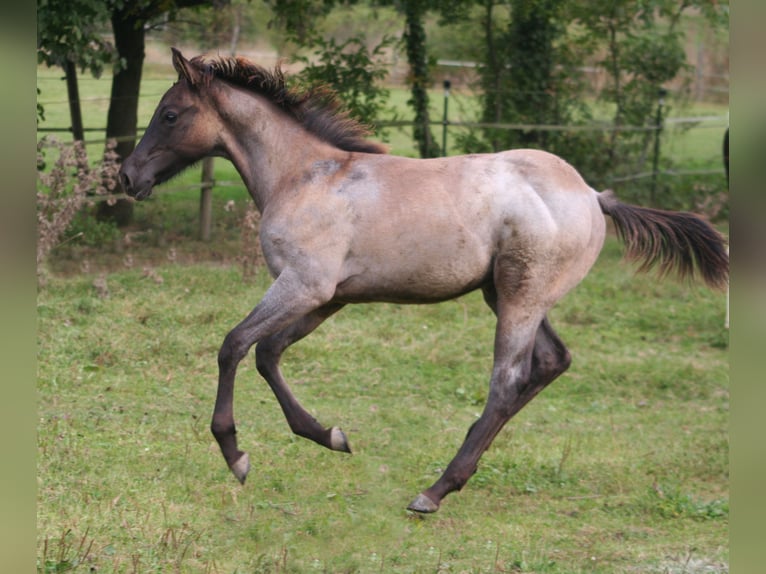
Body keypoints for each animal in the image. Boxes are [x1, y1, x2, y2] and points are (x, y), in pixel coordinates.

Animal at [120, 49, 732, 516]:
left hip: (520, 295)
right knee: (551, 362)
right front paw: (330, 436)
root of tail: (593, 195)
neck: (304, 175)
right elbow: (269, 353)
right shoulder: (327, 298)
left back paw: (435, 491)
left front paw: (236, 456)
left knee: (508, 380)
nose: (127, 177)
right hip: (507, 294)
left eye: (169, 114)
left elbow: (233, 345)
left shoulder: (304, 286)